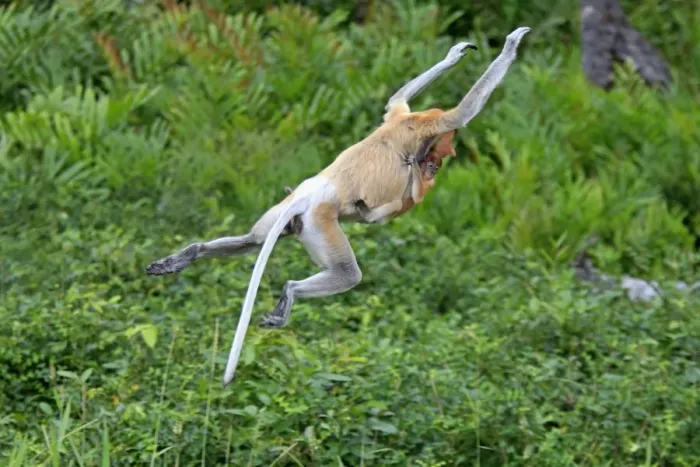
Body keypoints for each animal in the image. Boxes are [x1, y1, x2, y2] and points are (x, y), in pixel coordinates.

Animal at [144, 27, 531, 386]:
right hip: (322, 221)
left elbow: (397, 98)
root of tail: (309, 195)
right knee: (347, 273)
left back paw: (183, 257)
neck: (411, 129)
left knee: (252, 241)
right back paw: (289, 294)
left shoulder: (400, 115)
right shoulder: (428, 125)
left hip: (284, 212)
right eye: (441, 152)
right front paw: (510, 45)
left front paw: (454, 55)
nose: (439, 162)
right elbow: (462, 113)